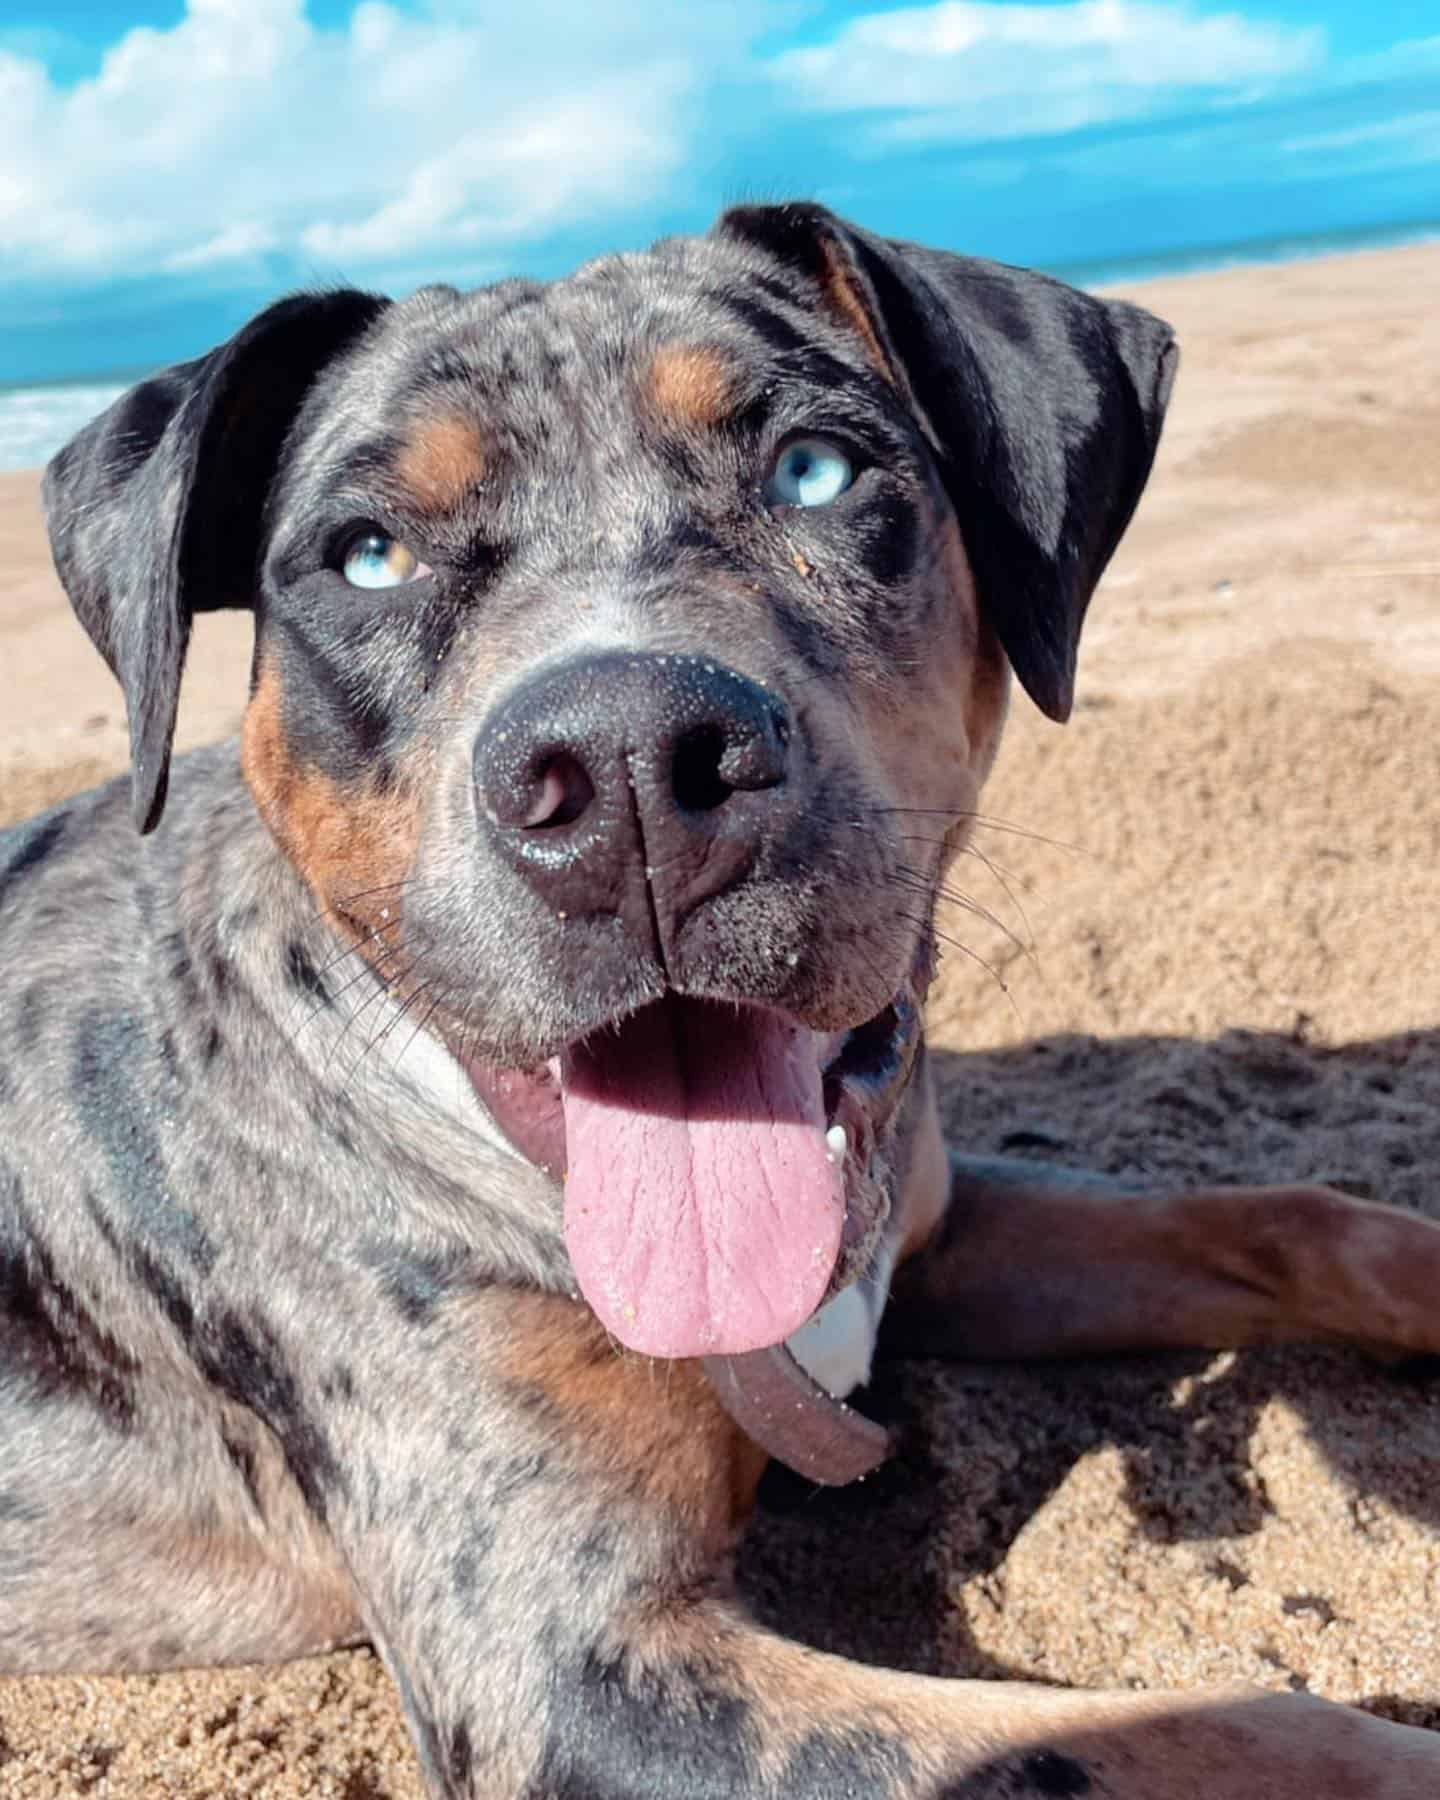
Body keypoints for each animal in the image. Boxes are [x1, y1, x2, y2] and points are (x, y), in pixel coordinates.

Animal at [2, 204, 1440, 1792]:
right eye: (368, 556)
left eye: (816, 470)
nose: (627, 761)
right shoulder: (571, 1677)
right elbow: (1210, 1731)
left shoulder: (937, 1234)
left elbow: (1287, 1216)